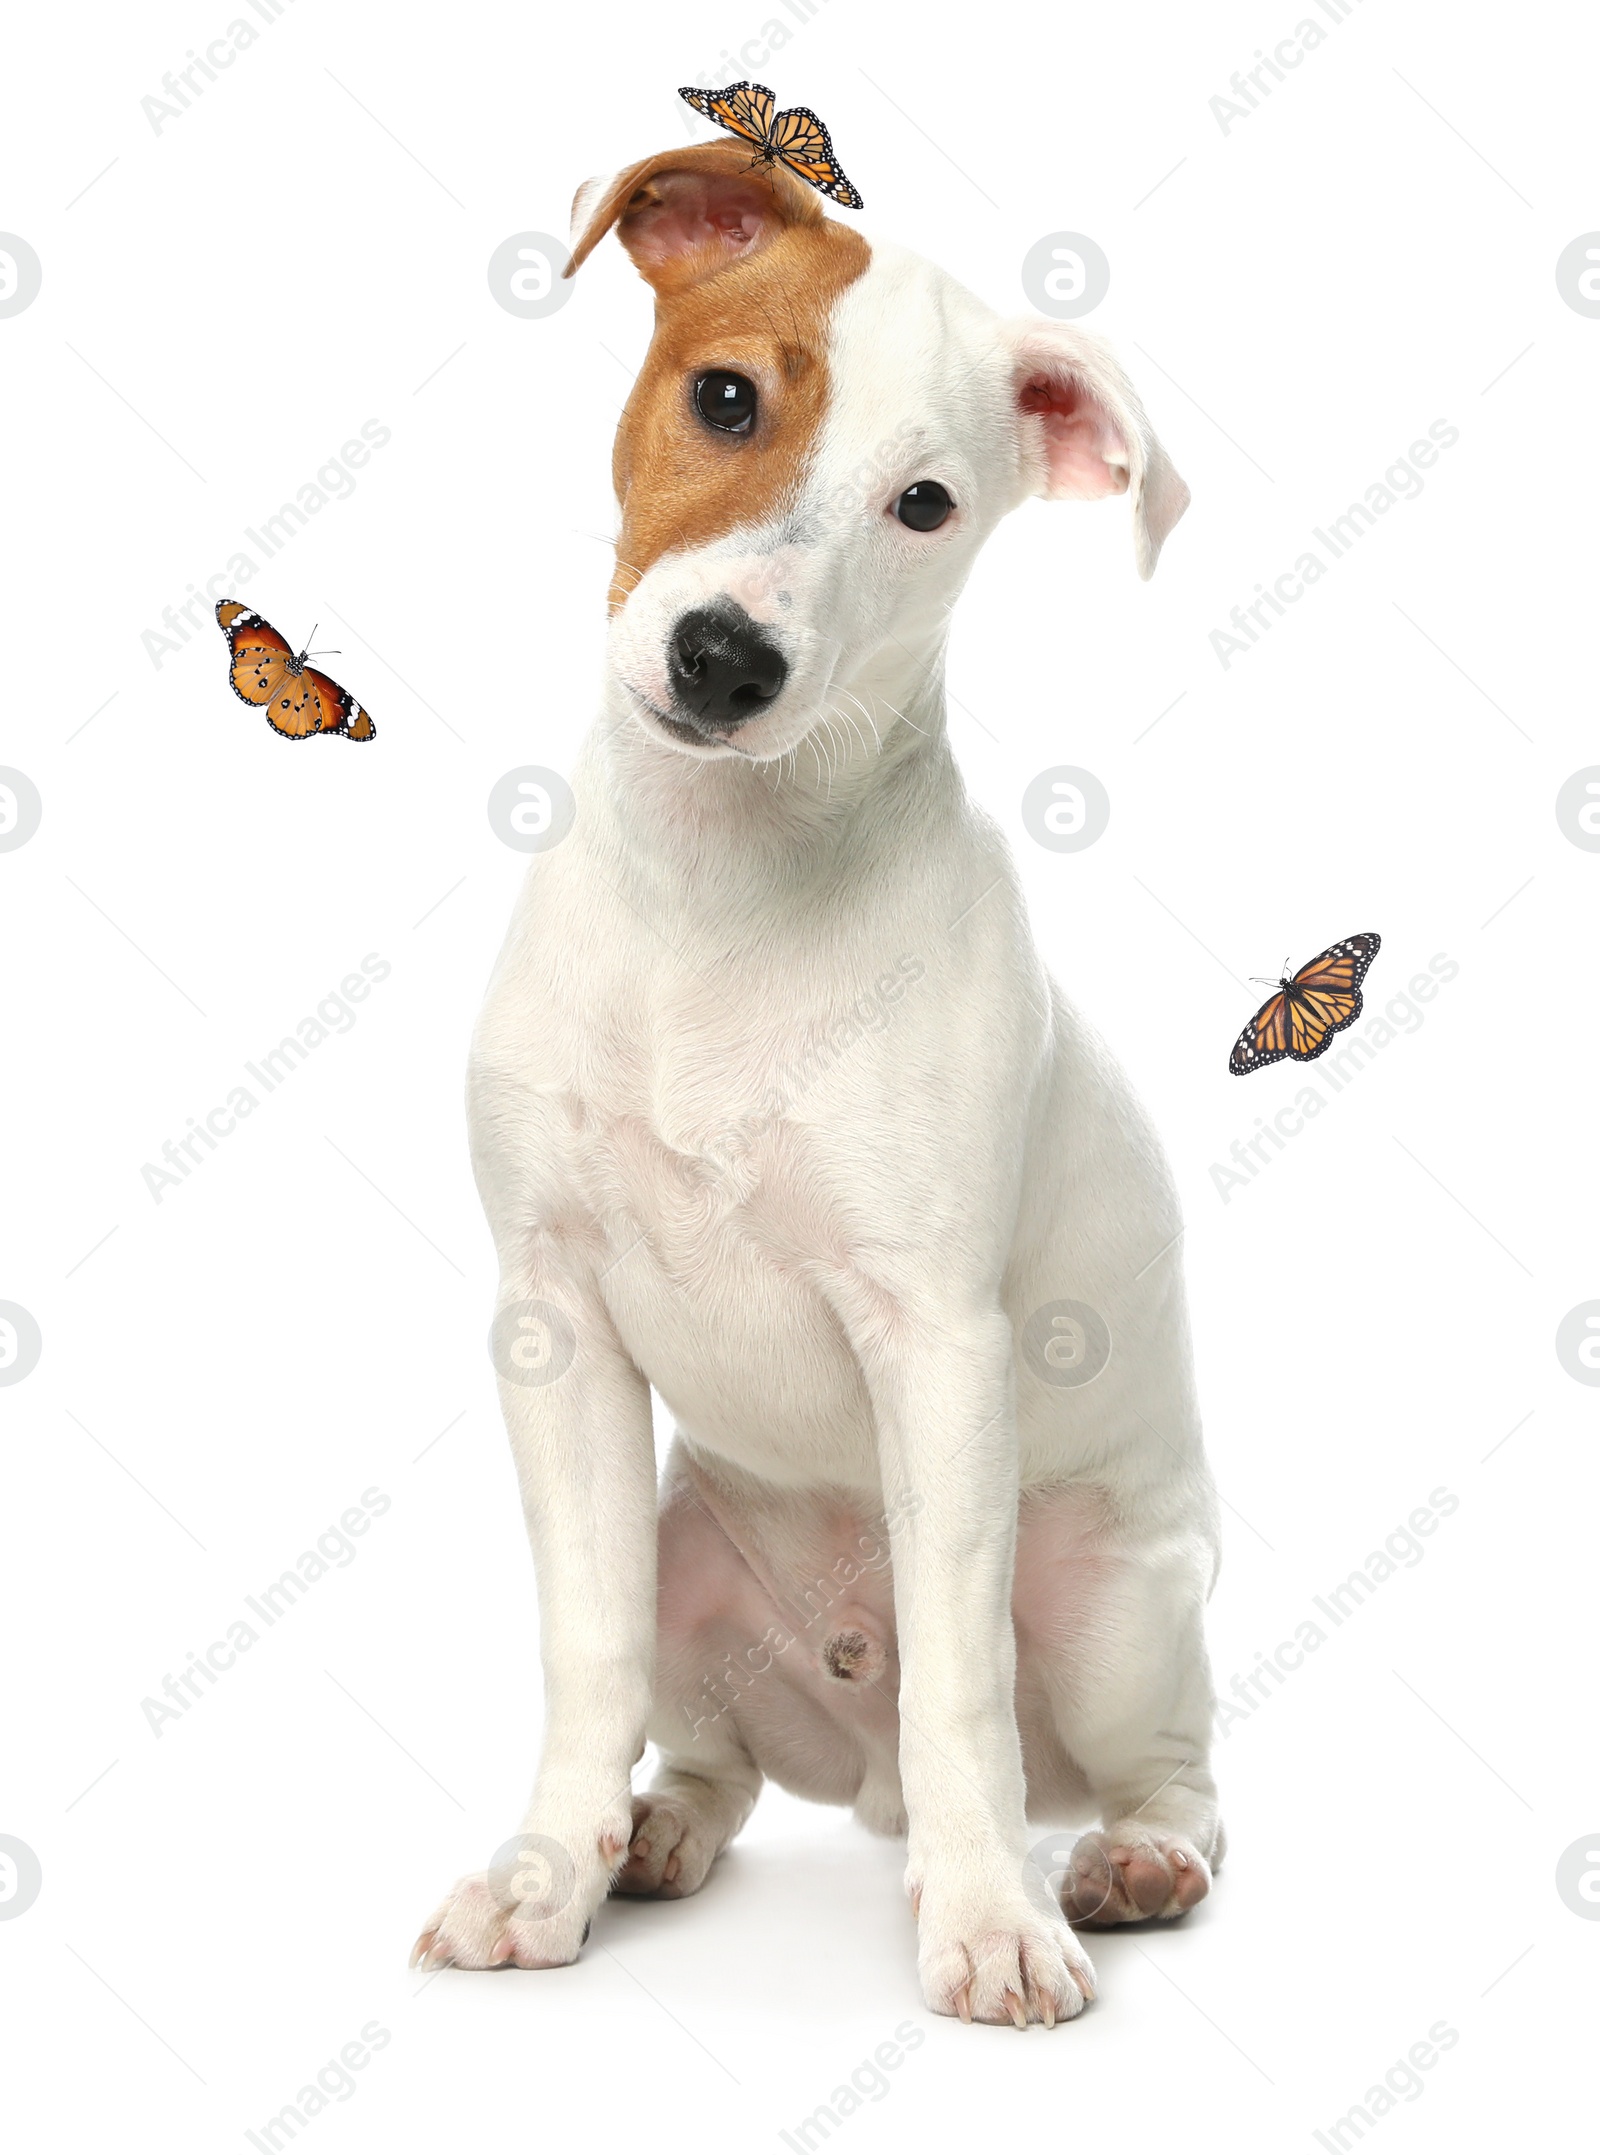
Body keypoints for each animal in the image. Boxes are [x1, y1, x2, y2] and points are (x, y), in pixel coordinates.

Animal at [416, 130, 1224, 2017]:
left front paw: (991, 1921)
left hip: (1114, 1598)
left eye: (926, 505)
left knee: (1151, 1761)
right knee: (711, 1748)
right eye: (726, 396)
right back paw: (655, 1833)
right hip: (694, 1555)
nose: (727, 659)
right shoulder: (552, 1323)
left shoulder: (939, 1345)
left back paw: (1121, 1862)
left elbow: (961, 1685)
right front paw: (545, 1871)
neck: (719, 891)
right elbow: (585, 1648)